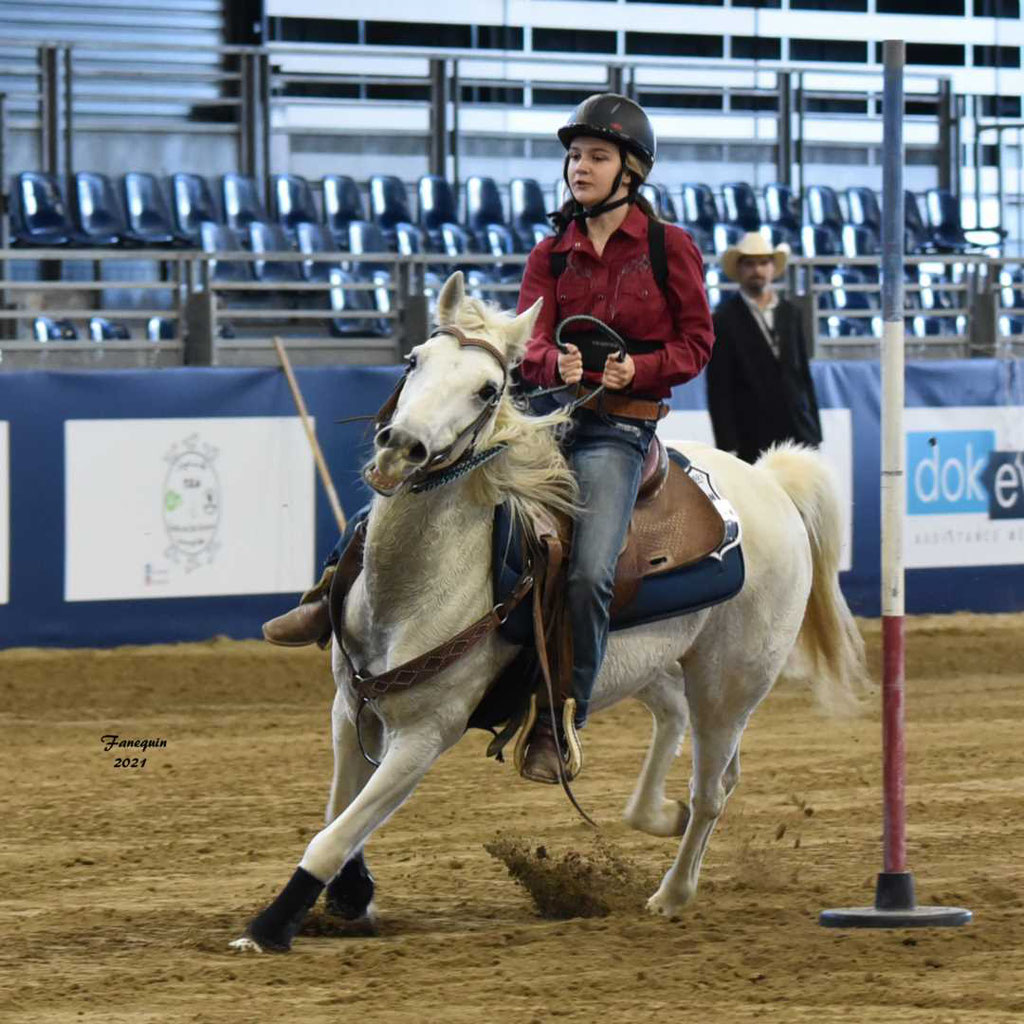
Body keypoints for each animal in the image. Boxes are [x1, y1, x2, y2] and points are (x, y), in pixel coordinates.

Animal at [232, 270, 864, 950]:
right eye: (413, 360)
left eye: (488, 389)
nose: (400, 447)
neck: (415, 586)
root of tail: (769, 484)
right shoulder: (350, 708)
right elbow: (338, 815)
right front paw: (351, 895)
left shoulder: (426, 735)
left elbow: (335, 834)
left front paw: (269, 926)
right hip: (644, 664)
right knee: (676, 728)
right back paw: (658, 813)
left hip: (730, 684)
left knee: (713, 789)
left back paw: (671, 893)